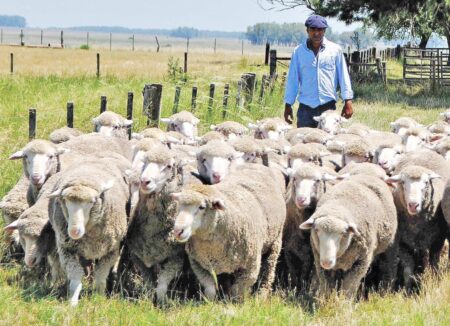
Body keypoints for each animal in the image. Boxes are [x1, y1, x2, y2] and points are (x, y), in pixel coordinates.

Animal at [49, 155, 130, 306]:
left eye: (92, 202)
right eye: (65, 201)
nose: (74, 231)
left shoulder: (110, 252)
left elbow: (100, 279)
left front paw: (99, 298)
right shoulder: (67, 251)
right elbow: (75, 280)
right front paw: (73, 302)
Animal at [171, 166, 286, 300]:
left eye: (201, 207)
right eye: (179, 205)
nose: (178, 231)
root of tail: (257, 165)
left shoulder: (250, 267)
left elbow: (237, 291)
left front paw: (234, 302)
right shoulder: (199, 264)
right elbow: (210, 289)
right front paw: (210, 301)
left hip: (275, 242)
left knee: (268, 272)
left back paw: (261, 296)